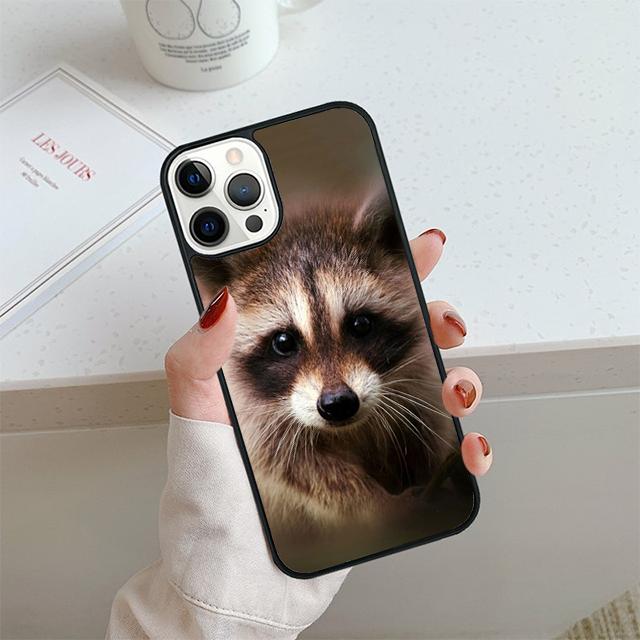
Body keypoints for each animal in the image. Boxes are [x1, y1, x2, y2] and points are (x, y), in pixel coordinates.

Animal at [193, 194, 460, 537]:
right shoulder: (256, 423)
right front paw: (380, 507)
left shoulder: (420, 384)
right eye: (283, 342)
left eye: (360, 324)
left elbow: (427, 432)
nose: (338, 403)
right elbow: (299, 472)